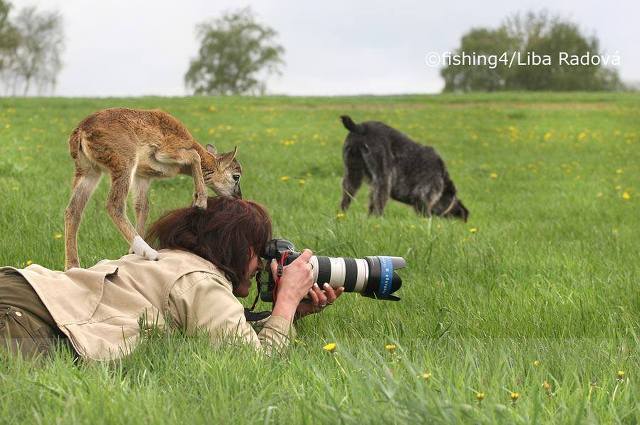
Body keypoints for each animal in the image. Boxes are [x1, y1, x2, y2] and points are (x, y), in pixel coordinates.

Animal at [338, 116, 468, 222]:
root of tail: (360, 128)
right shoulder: (423, 196)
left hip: (352, 177)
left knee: (345, 202)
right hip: (383, 180)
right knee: (378, 205)